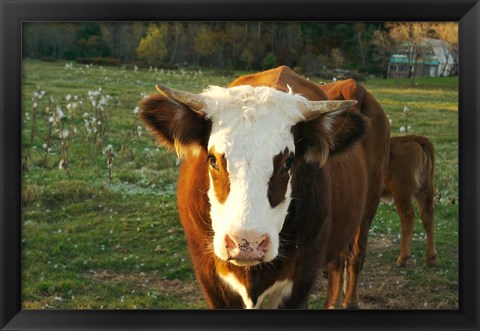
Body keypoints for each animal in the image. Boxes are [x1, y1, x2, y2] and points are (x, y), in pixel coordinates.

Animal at [140, 66, 390, 310]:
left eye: (288, 162)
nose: (247, 244)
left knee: (355, 254)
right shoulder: (211, 279)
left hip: (369, 207)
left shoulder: (301, 280)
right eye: (212, 159)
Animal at [384, 135, 436, 268]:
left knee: (408, 216)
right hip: (423, 189)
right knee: (427, 216)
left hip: (401, 191)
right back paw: (431, 258)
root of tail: (412, 138)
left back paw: (402, 259)